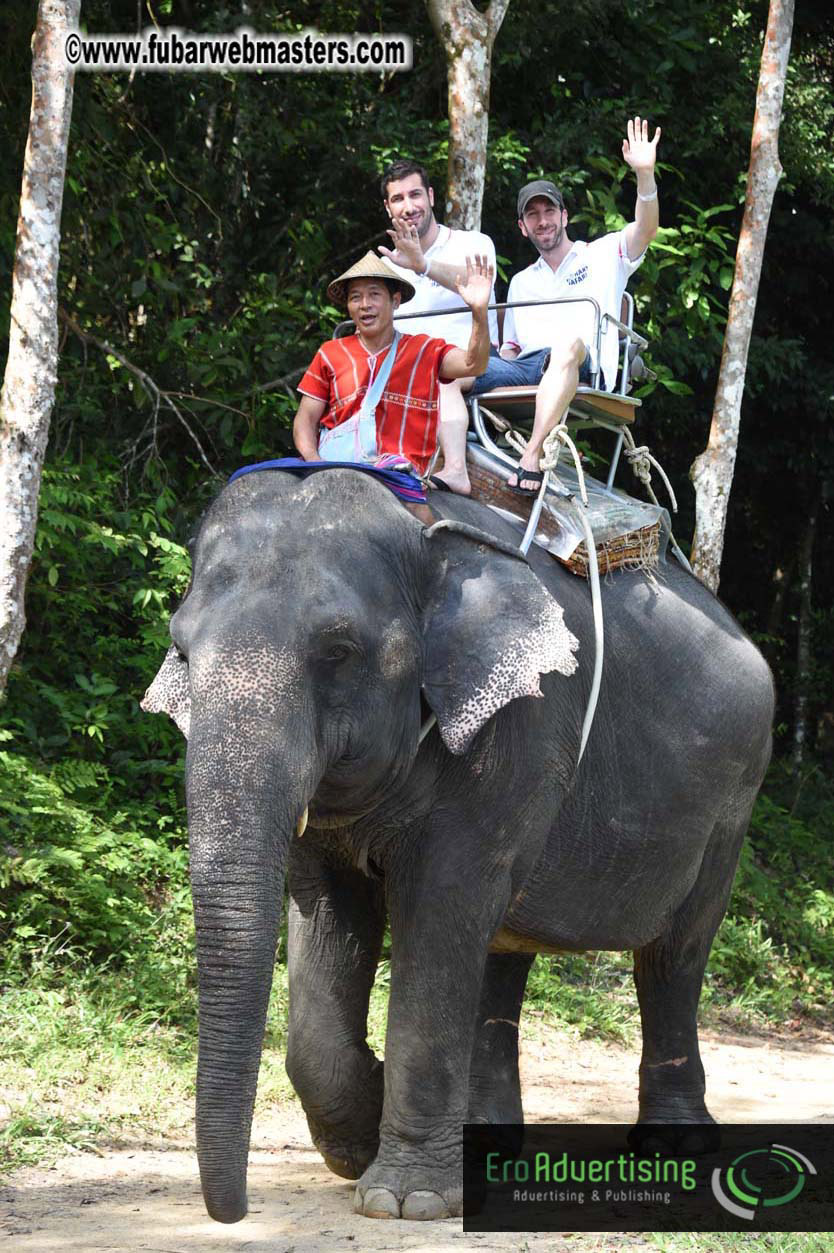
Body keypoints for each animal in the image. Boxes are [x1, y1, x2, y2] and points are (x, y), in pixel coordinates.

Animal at [142, 464, 774, 1224]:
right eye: (181, 651)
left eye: (337, 652)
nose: (232, 1213)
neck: (425, 539)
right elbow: (330, 916)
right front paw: (360, 1142)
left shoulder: (521, 727)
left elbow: (442, 906)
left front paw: (404, 1198)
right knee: (503, 949)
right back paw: (490, 1151)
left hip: (731, 801)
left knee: (674, 955)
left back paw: (674, 1148)